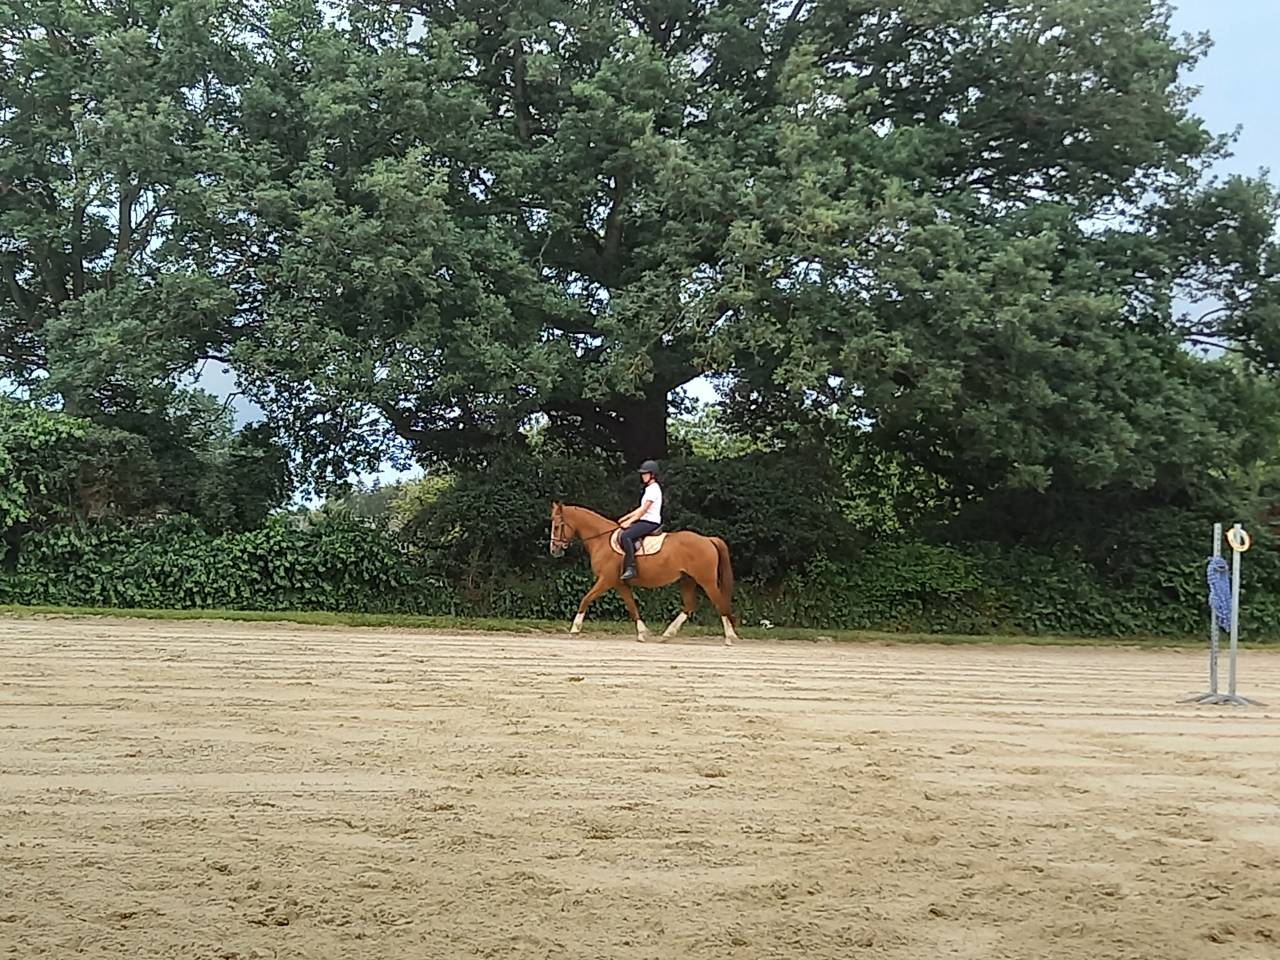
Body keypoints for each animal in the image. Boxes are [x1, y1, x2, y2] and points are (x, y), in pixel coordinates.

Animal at [548, 502, 741, 645]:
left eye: (557, 526)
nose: (554, 550)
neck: (601, 538)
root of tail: (708, 539)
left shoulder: (606, 580)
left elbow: (586, 599)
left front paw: (575, 628)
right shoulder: (619, 583)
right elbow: (632, 606)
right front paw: (642, 633)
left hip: (706, 581)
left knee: (720, 602)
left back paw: (729, 637)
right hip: (688, 580)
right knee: (689, 606)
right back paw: (667, 634)